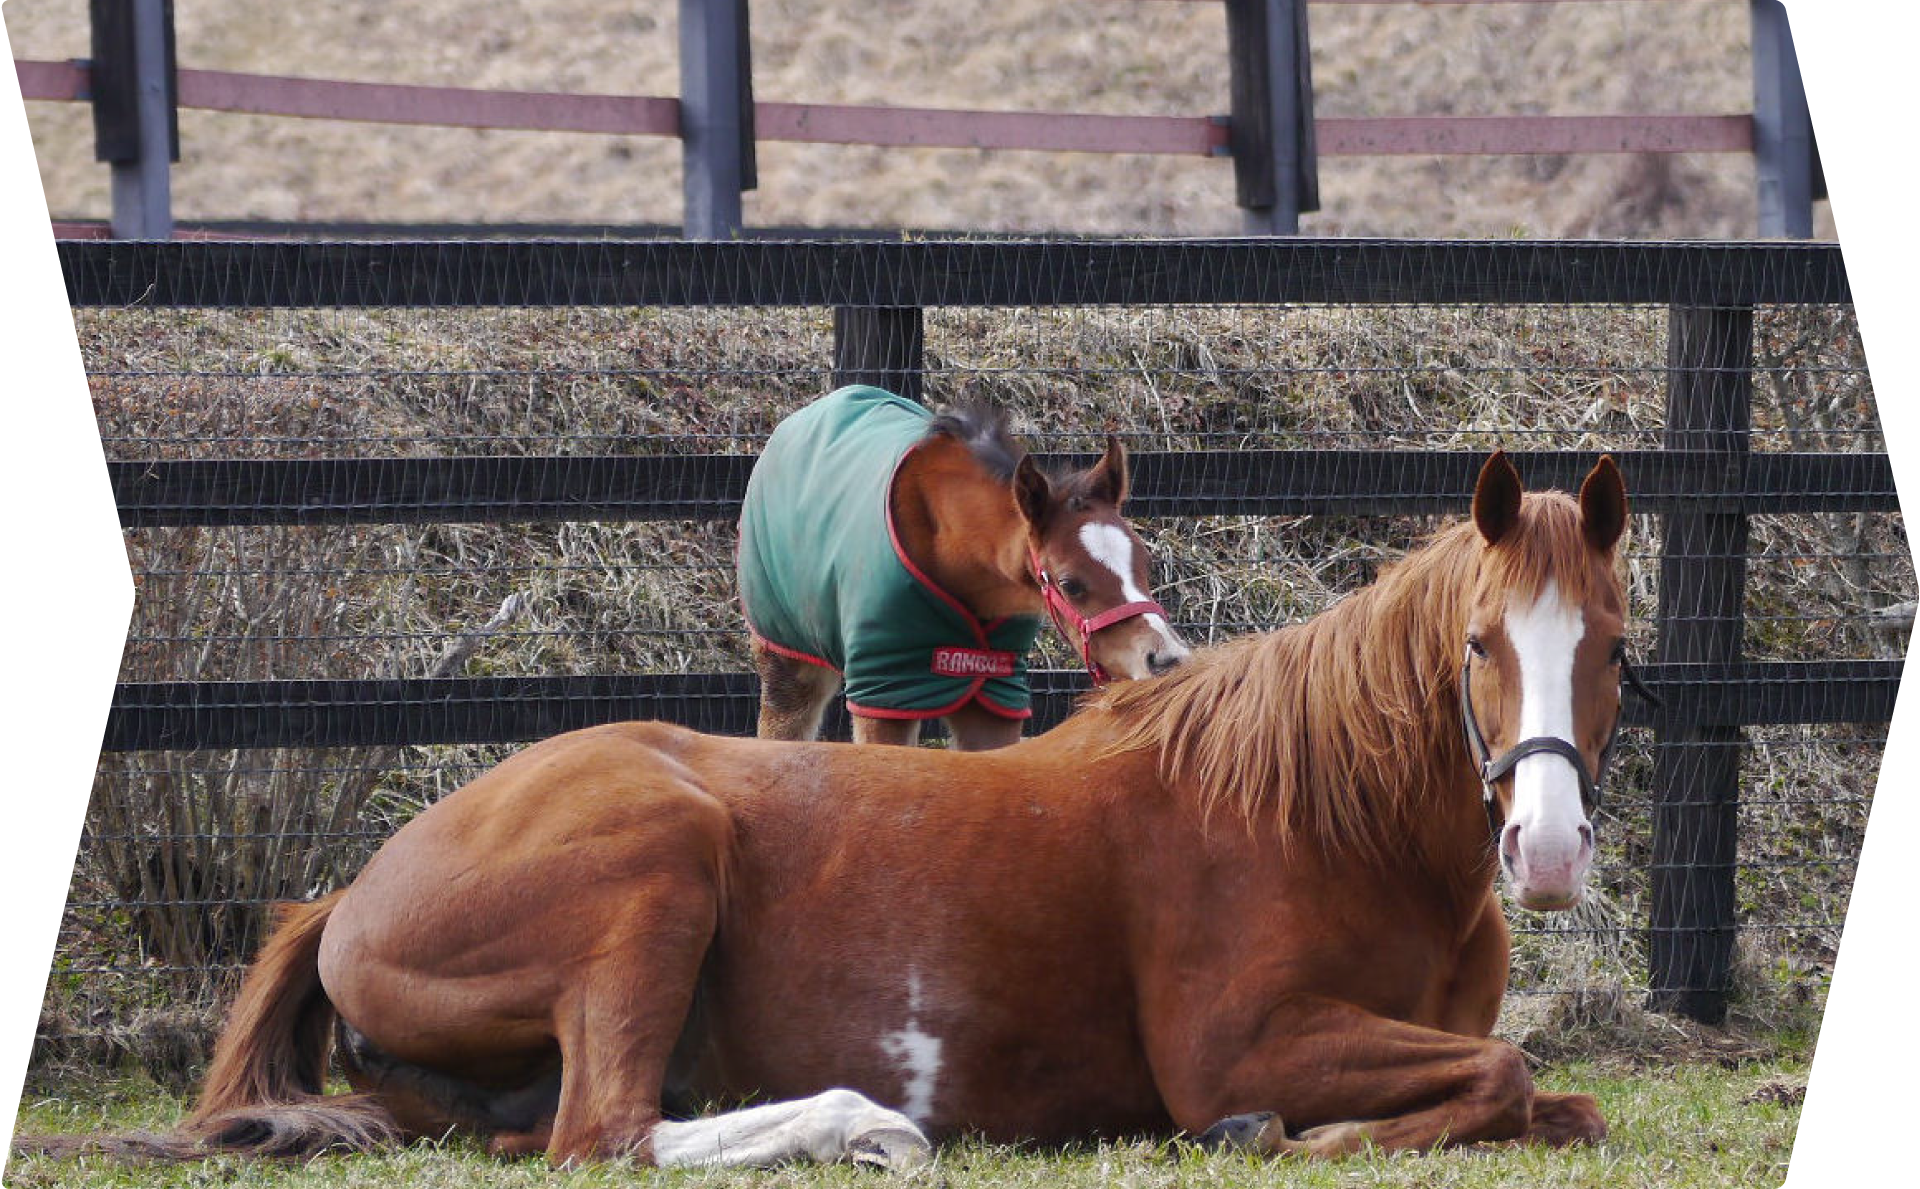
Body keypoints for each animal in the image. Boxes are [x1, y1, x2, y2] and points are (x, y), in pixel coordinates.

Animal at [18, 455, 1635, 1175]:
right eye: (1479, 644)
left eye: (1617, 645)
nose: (1549, 851)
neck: (1321, 817)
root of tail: (342, 897)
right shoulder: (1237, 1039)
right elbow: (1501, 1075)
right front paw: (1286, 1130)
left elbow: (1549, 1090)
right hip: (654, 868)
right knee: (612, 1137)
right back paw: (867, 1122)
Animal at [733, 386, 1182, 749]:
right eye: (1070, 584)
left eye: (1145, 562)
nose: (1166, 659)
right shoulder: (884, 690)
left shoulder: (995, 694)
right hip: (790, 662)